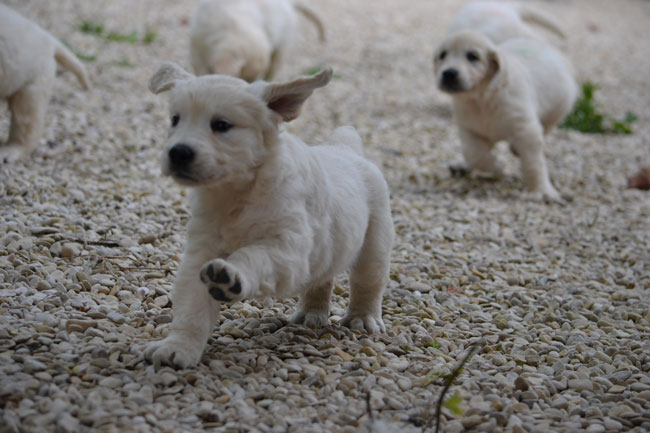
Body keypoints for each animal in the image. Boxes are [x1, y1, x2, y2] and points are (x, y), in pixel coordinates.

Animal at [144, 63, 392, 368]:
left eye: (221, 125)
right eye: (175, 120)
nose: (178, 152)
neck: (237, 192)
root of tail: (344, 147)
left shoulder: (287, 249)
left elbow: (252, 256)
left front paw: (230, 275)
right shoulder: (200, 252)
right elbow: (193, 305)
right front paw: (178, 348)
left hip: (374, 243)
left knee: (368, 282)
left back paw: (362, 318)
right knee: (321, 280)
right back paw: (311, 314)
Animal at [432, 31, 576, 202]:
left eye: (472, 56)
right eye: (443, 55)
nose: (448, 73)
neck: (482, 98)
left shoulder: (526, 129)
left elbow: (534, 163)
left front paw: (542, 191)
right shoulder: (470, 129)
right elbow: (475, 155)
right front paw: (497, 167)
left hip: (558, 109)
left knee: (547, 126)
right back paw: (462, 166)